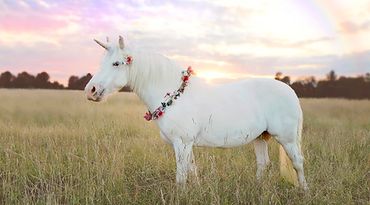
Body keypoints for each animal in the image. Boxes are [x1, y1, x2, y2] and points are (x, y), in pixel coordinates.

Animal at [85, 35, 308, 191]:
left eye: (116, 63)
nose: (90, 90)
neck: (173, 96)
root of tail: (290, 91)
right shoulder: (186, 144)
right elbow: (191, 170)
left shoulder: (182, 143)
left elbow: (181, 176)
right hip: (261, 137)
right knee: (263, 164)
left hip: (287, 139)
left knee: (297, 163)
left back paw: (304, 191)